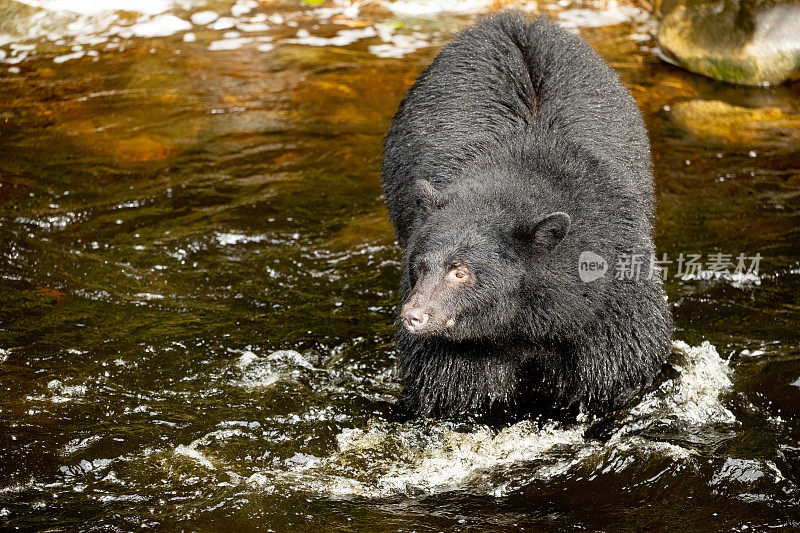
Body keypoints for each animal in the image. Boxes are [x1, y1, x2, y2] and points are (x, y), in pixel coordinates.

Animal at [382, 10, 676, 418]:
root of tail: (513, 19)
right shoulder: (457, 345)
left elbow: (624, 360)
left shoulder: (610, 300)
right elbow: (447, 383)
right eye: (420, 266)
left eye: (460, 271)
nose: (414, 316)